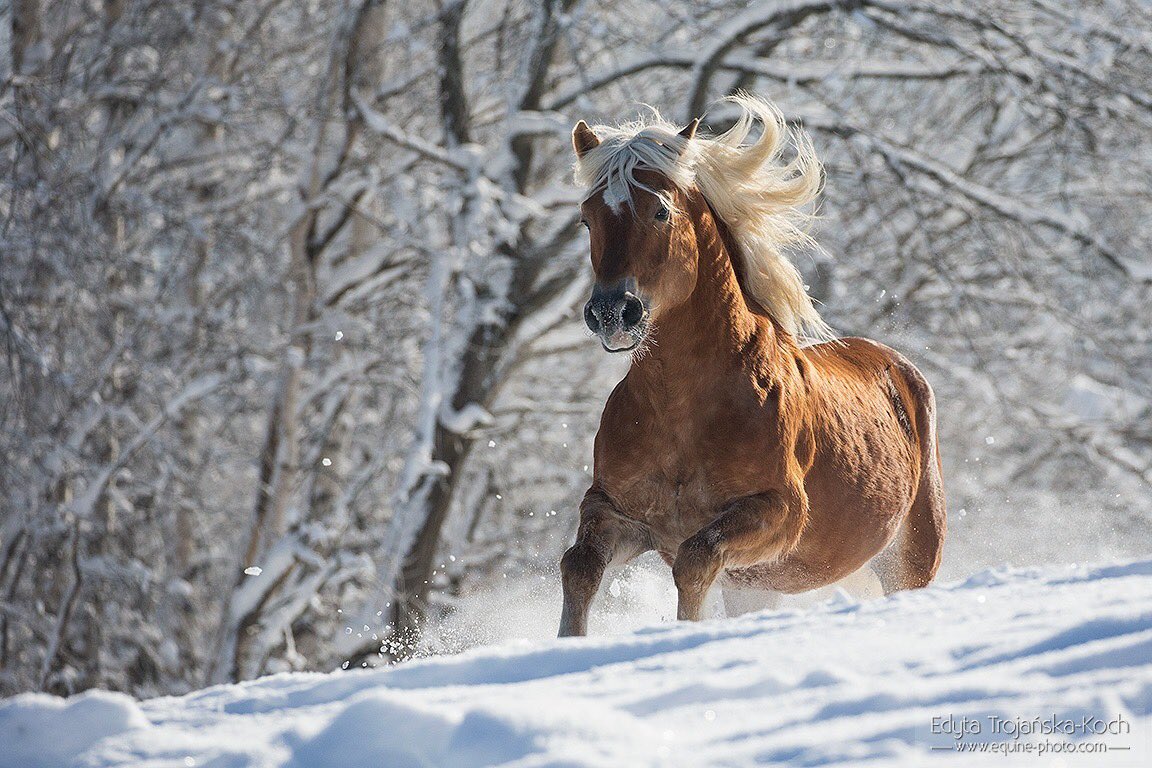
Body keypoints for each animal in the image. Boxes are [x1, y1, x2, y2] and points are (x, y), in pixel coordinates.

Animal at [558, 94, 946, 636]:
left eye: (660, 210)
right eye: (586, 218)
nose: (612, 312)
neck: (682, 409)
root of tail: (898, 367)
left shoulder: (779, 512)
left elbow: (695, 561)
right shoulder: (618, 511)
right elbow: (579, 566)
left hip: (909, 559)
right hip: (758, 585)